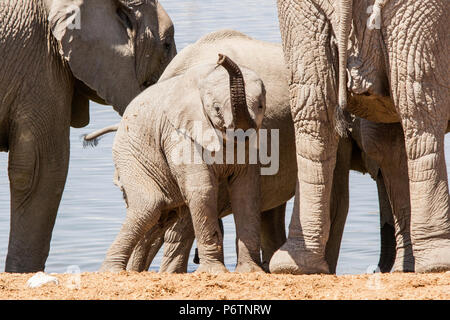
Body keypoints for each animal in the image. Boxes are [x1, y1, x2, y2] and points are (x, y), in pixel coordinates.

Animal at [100, 54, 266, 272]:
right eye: (217, 109)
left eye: (261, 106)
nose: (221, 57)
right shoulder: (180, 134)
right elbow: (203, 190)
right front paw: (215, 272)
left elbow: (246, 191)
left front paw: (251, 271)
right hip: (130, 154)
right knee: (149, 207)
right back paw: (113, 271)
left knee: (160, 217)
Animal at [270, 0, 450, 276]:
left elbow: (386, 140)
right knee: (420, 106)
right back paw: (437, 265)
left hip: (301, 13)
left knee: (313, 111)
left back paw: (294, 267)